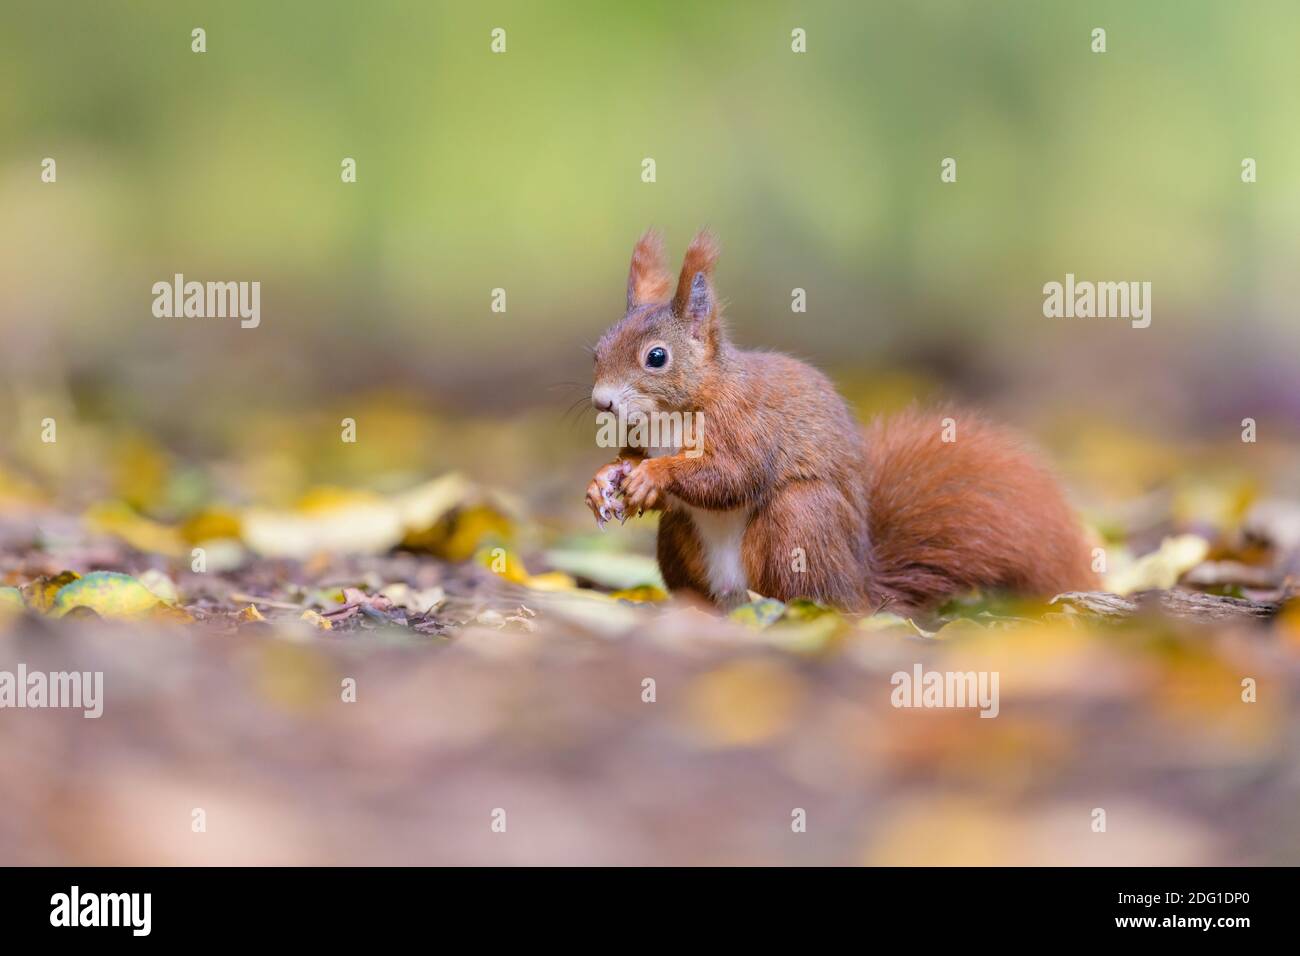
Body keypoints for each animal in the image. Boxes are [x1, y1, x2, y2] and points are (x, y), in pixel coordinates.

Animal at [585, 229, 1099, 614]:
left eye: (657, 357)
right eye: (598, 351)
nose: (602, 403)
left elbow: (732, 474)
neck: (672, 413)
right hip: (680, 540)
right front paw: (605, 478)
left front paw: (654, 475)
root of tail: (859, 587)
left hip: (799, 523)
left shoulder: (747, 425)